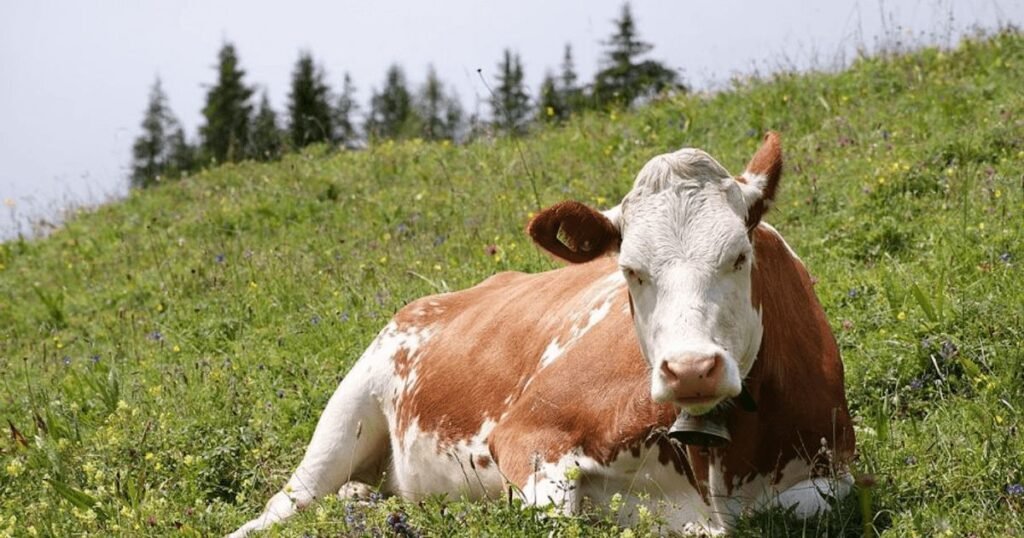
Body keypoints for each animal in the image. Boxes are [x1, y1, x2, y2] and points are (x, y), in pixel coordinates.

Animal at [229, 132, 855, 537]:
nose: (691, 369)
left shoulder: (835, 472)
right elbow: (557, 517)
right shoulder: (528, 434)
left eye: (739, 256)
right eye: (630, 270)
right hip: (348, 410)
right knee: (284, 504)